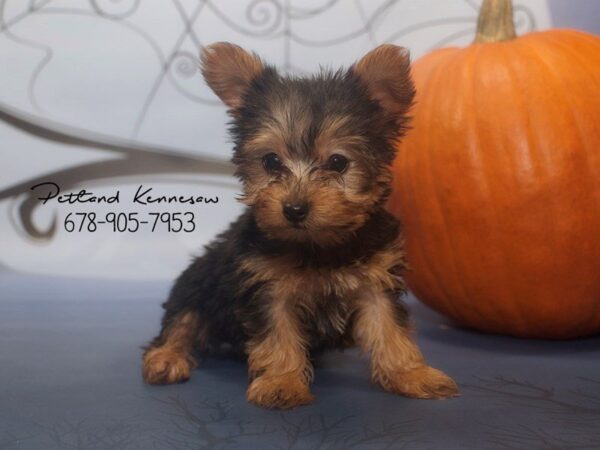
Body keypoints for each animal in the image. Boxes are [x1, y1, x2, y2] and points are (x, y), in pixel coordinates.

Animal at [142, 42, 460, 408]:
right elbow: (278, 335)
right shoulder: (267, 288)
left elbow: (390, 328)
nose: (294, 209)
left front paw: (411, 374)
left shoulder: (376, 281)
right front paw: (282, 383)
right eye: (270, 161)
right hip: (197, 283)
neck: (320, 245)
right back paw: (166, 357)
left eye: (337, 162)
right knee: (182, 320)